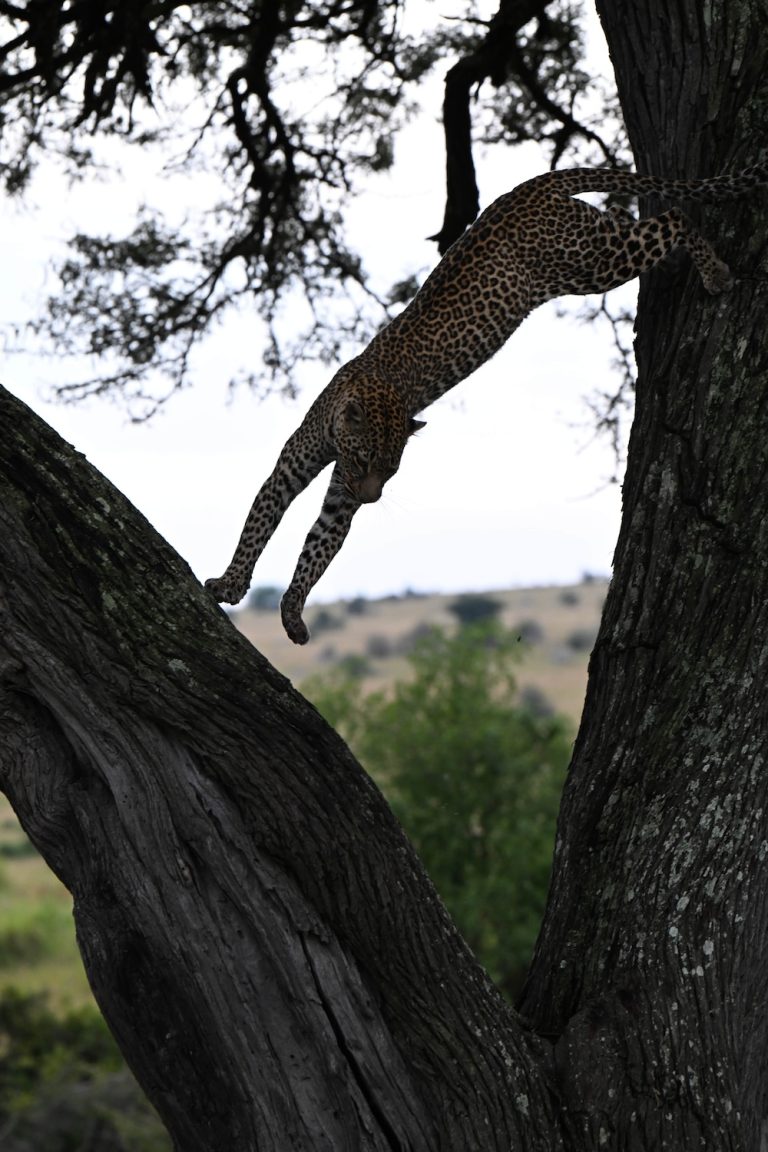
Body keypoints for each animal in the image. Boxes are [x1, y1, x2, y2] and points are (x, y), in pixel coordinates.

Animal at [206, 161, 768, 644]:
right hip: (593, 248)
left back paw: (715, 273)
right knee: (637, 216)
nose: (372, 499)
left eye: (391, 472)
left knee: (672, 218)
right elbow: (277, 531)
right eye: (367, 462)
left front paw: (268, 599)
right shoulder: (301, 471)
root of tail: (527, 188)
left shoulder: (339, 488)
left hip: (590, 262)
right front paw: (258, 596)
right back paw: (691, 268)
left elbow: (315, 542)